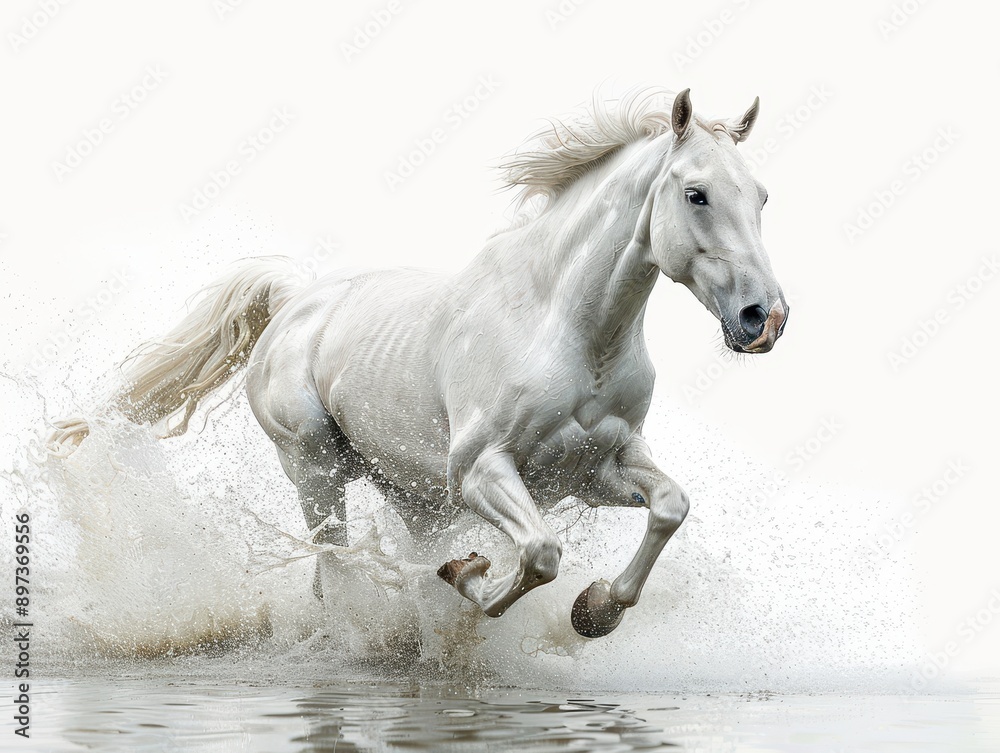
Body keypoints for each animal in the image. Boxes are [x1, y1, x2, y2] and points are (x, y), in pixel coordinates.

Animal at [48, 88, 787, 638]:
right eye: (696, 194)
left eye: (761, 196)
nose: (764, 318)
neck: (568, 329)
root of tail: (294, 302)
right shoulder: (481, 470)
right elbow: (540, 555)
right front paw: (468, 578)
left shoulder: (596, 465)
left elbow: (670, 505)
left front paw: (596, 610)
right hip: (314, 466)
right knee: (335, 569)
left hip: (413, 495)